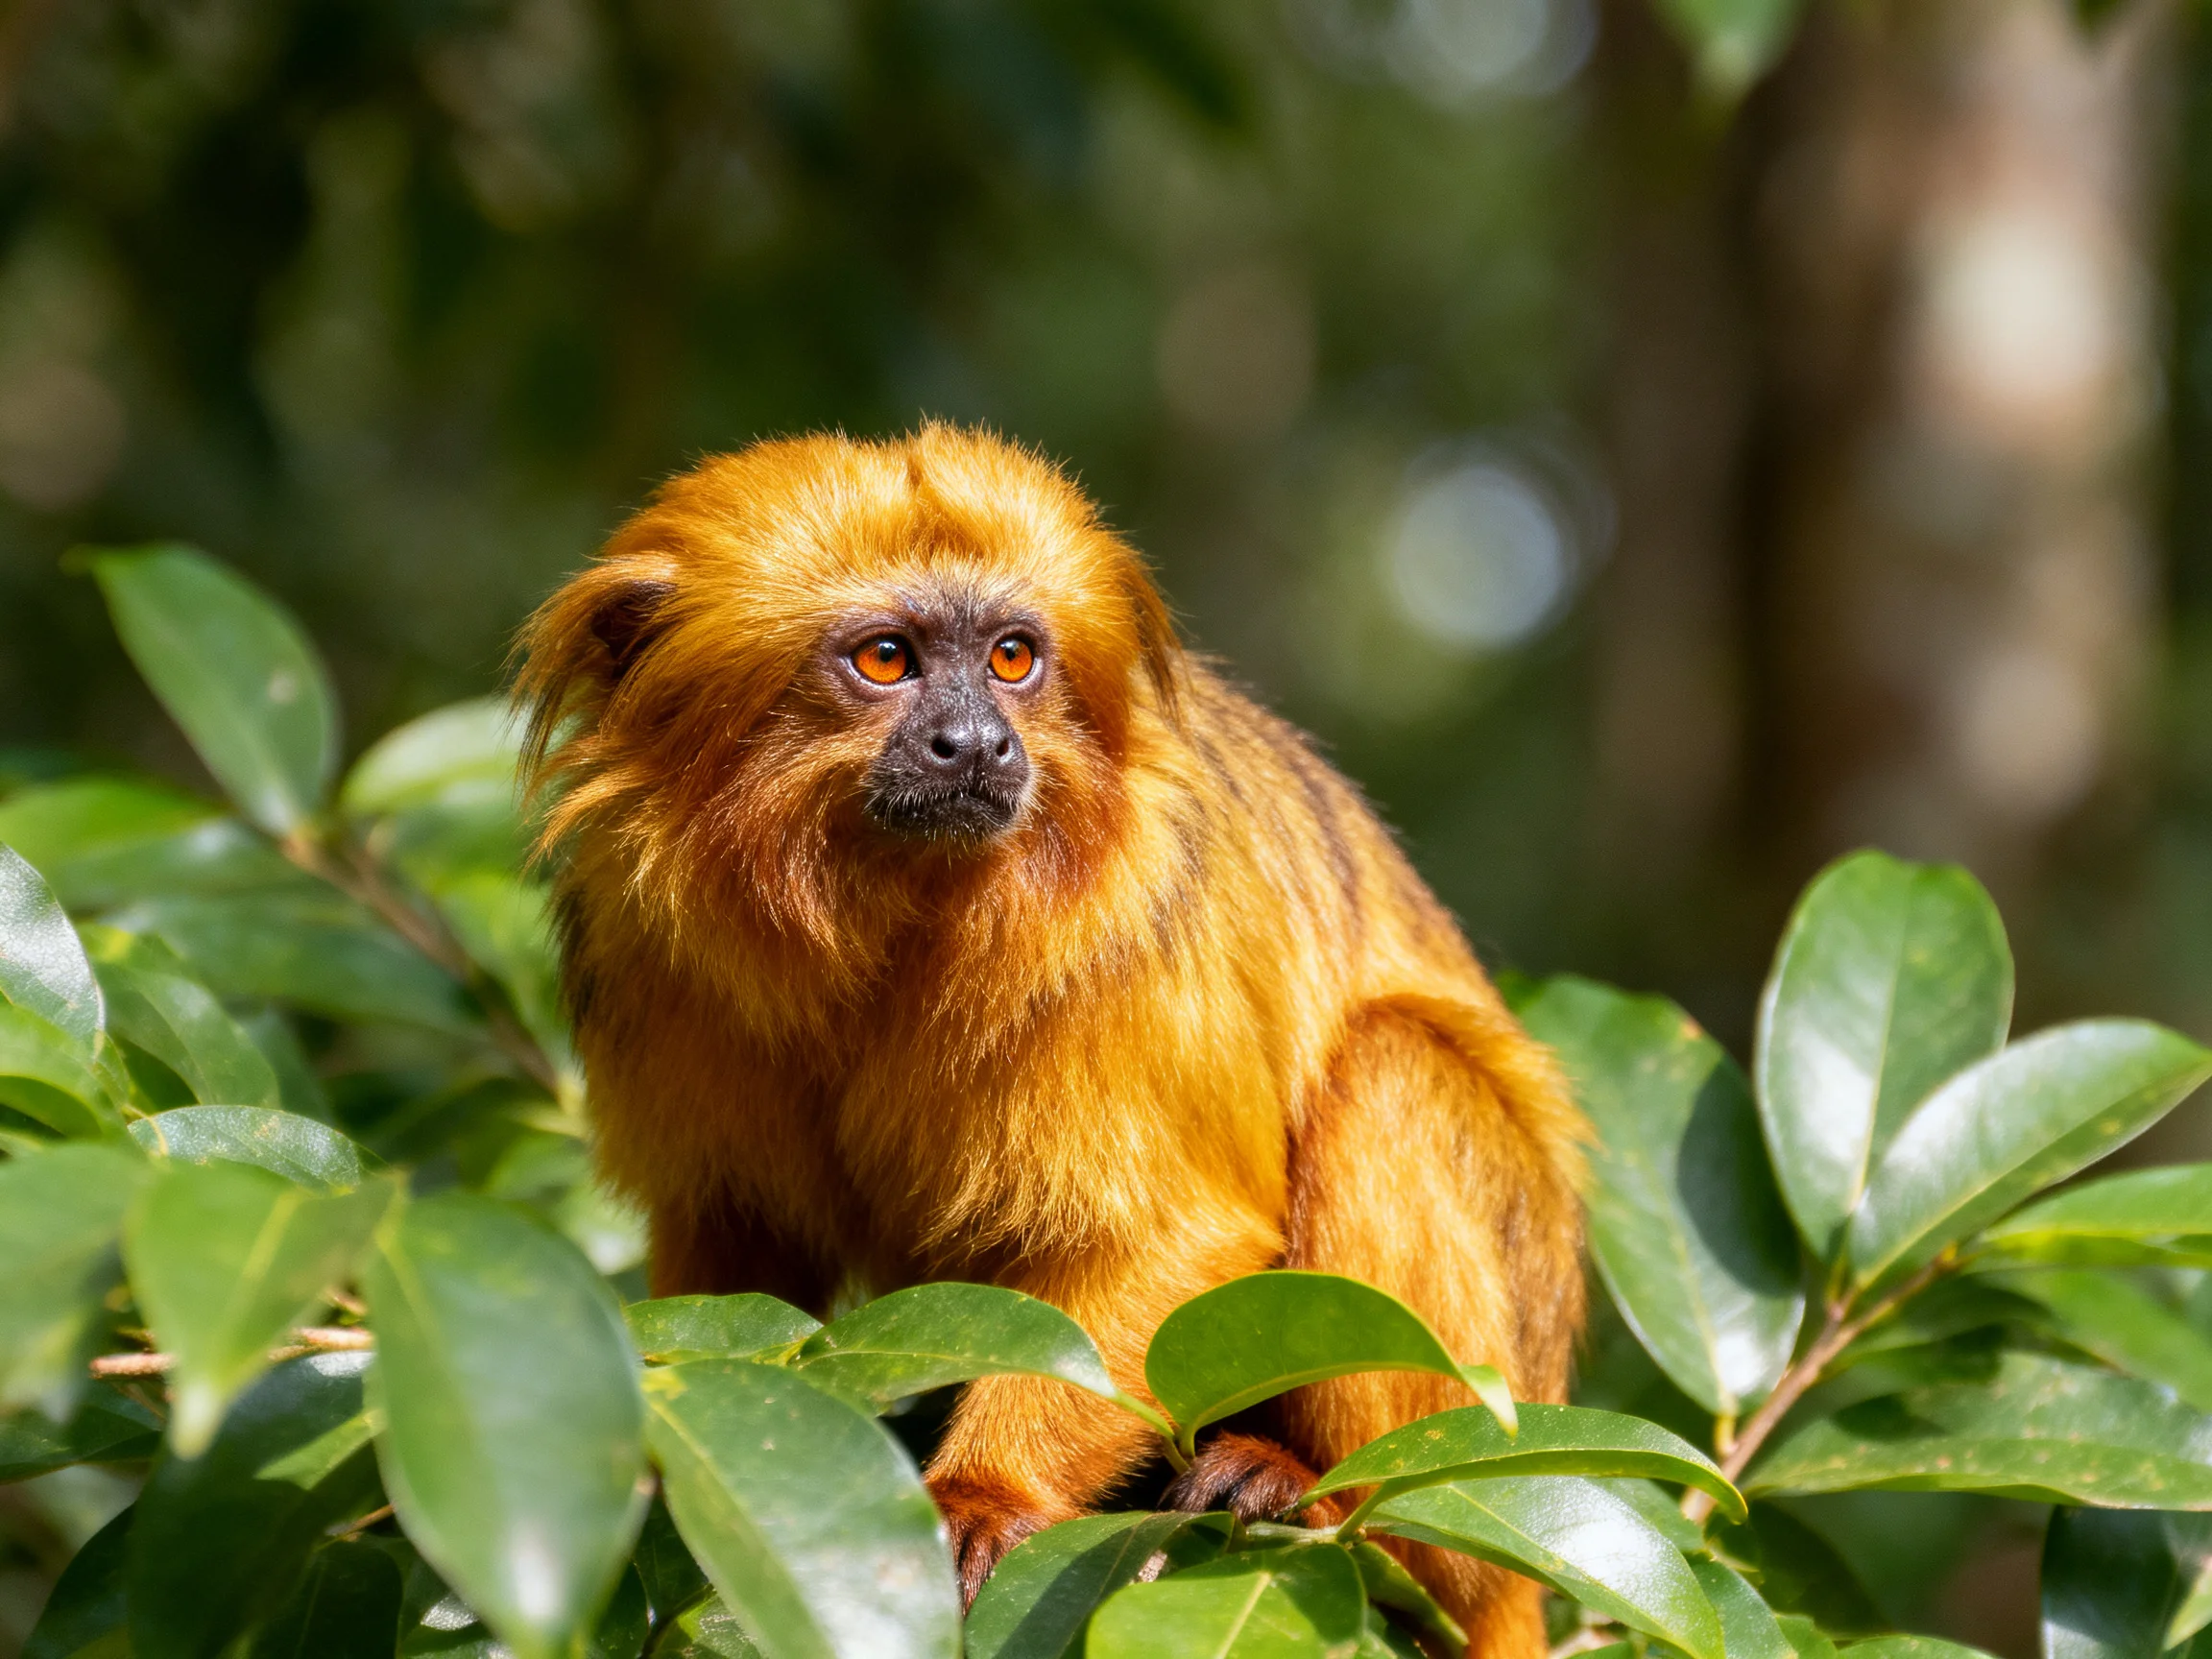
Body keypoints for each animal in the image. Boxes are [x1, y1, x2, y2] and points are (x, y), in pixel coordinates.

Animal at [515, 423, 1585, 1656]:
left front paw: (985, 1495)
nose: (977, 742)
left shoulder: (1128, 931)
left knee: (1392, 1069)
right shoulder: (648, 949)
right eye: (887, 660)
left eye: (1013, 658)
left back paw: (1319, 1496)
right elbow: (738, 1236)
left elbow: (1174, 1234)